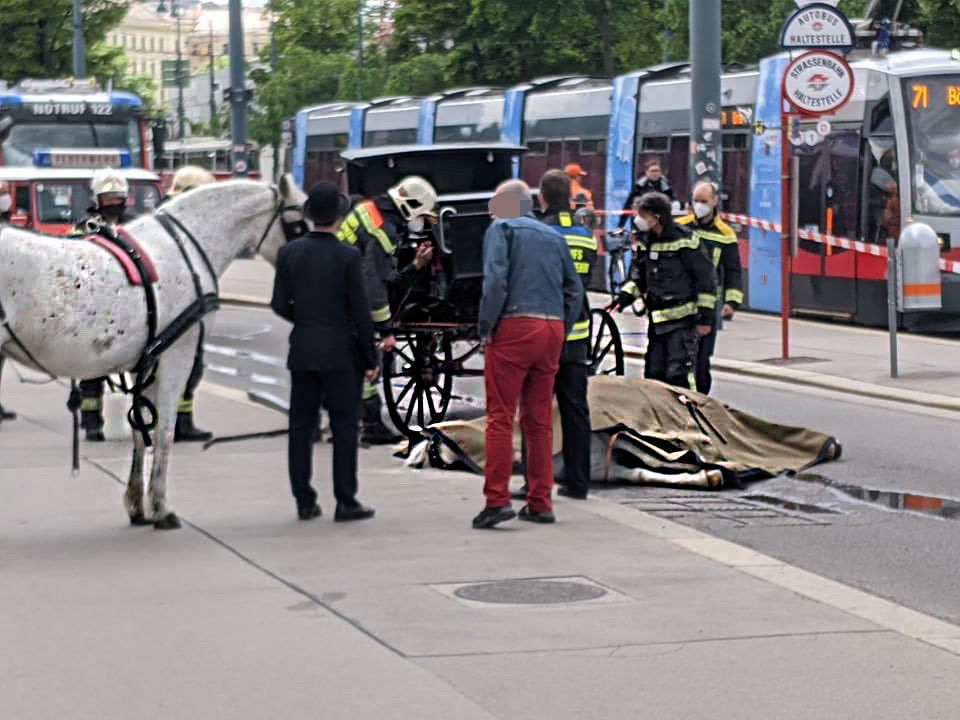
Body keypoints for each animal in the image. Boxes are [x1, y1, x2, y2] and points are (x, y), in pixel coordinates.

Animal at [0, 180, 298, 528]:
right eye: (298, 223)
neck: (186, 245)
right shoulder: (176, 356)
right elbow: (165, 429)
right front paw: (160, 506)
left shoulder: (146, 362)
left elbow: (140, 430)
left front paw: (136, 504)